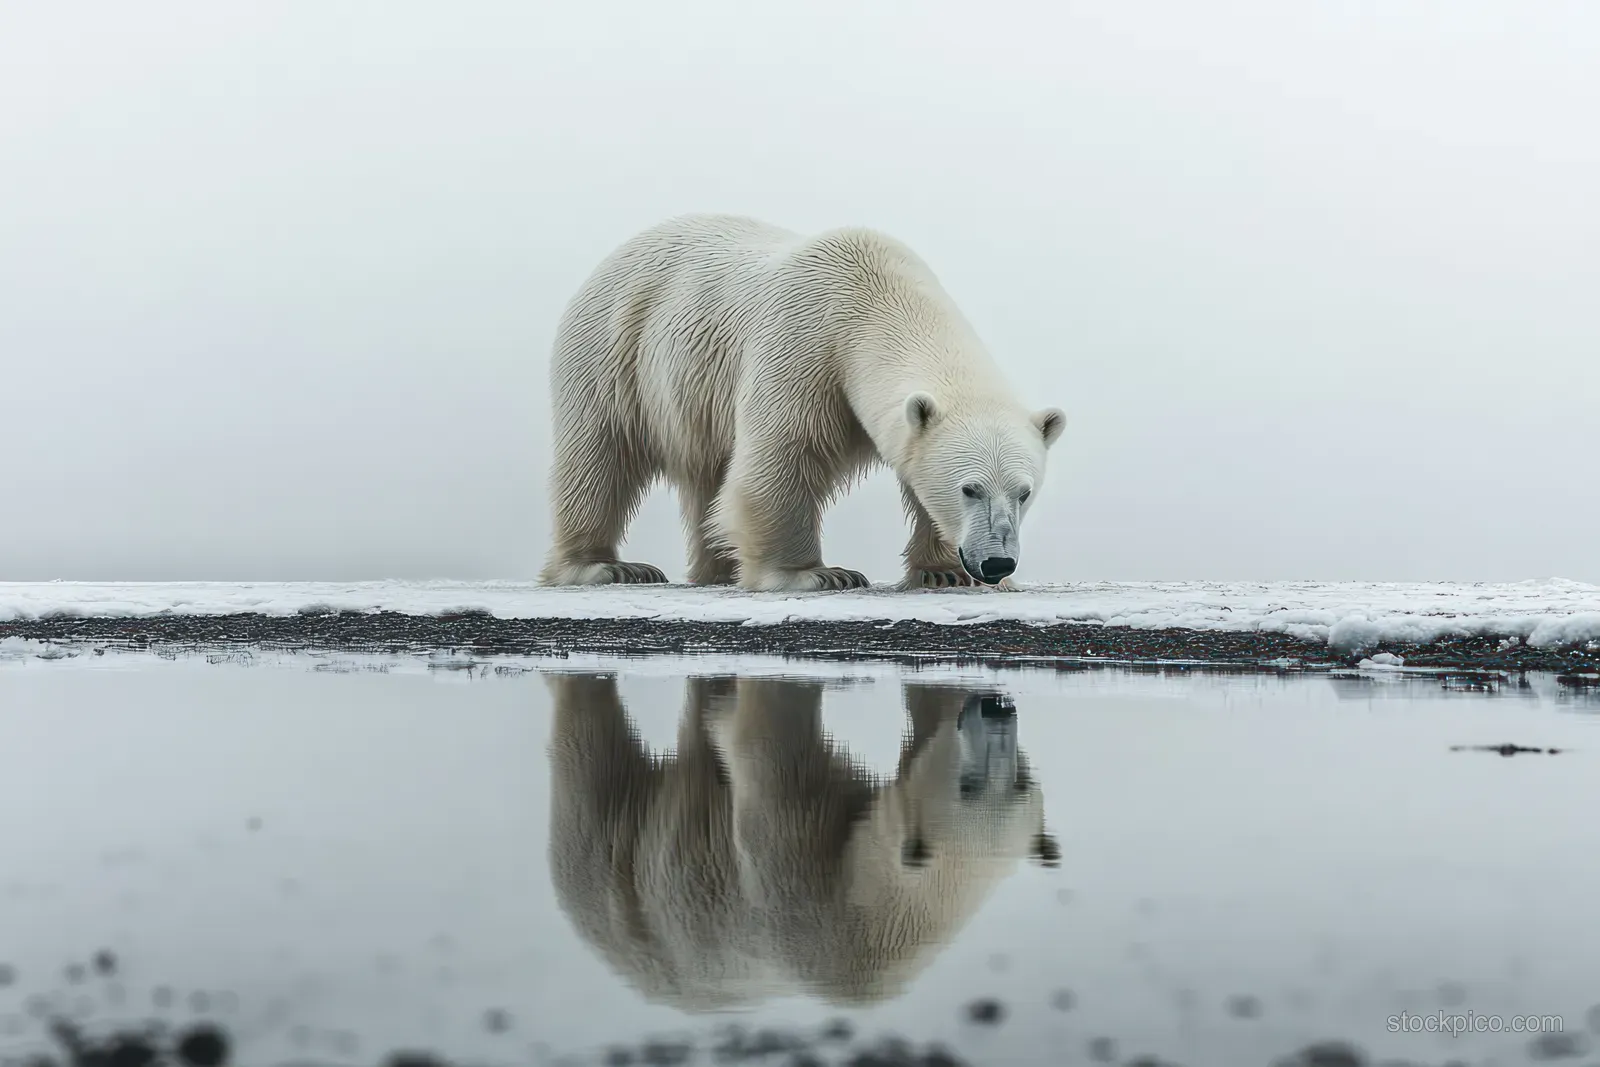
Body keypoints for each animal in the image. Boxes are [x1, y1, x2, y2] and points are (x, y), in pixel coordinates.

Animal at [537, 213, 1067, 592]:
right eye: (970, 489)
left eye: (1023, 492)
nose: (996, 563)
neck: (874, 295)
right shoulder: (805, 347)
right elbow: (780, 459)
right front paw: (817, 574)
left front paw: (943, 573)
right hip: (615, 352)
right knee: (599, 456)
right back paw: (607, 567)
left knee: (706, 474)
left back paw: (718, 569)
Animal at [543, 670, 1059, 1009]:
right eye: (967, 785)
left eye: (1019, 783)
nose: (997, 712)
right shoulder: (802, 880)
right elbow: (762, 747)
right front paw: (726, 715)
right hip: (618, 880)